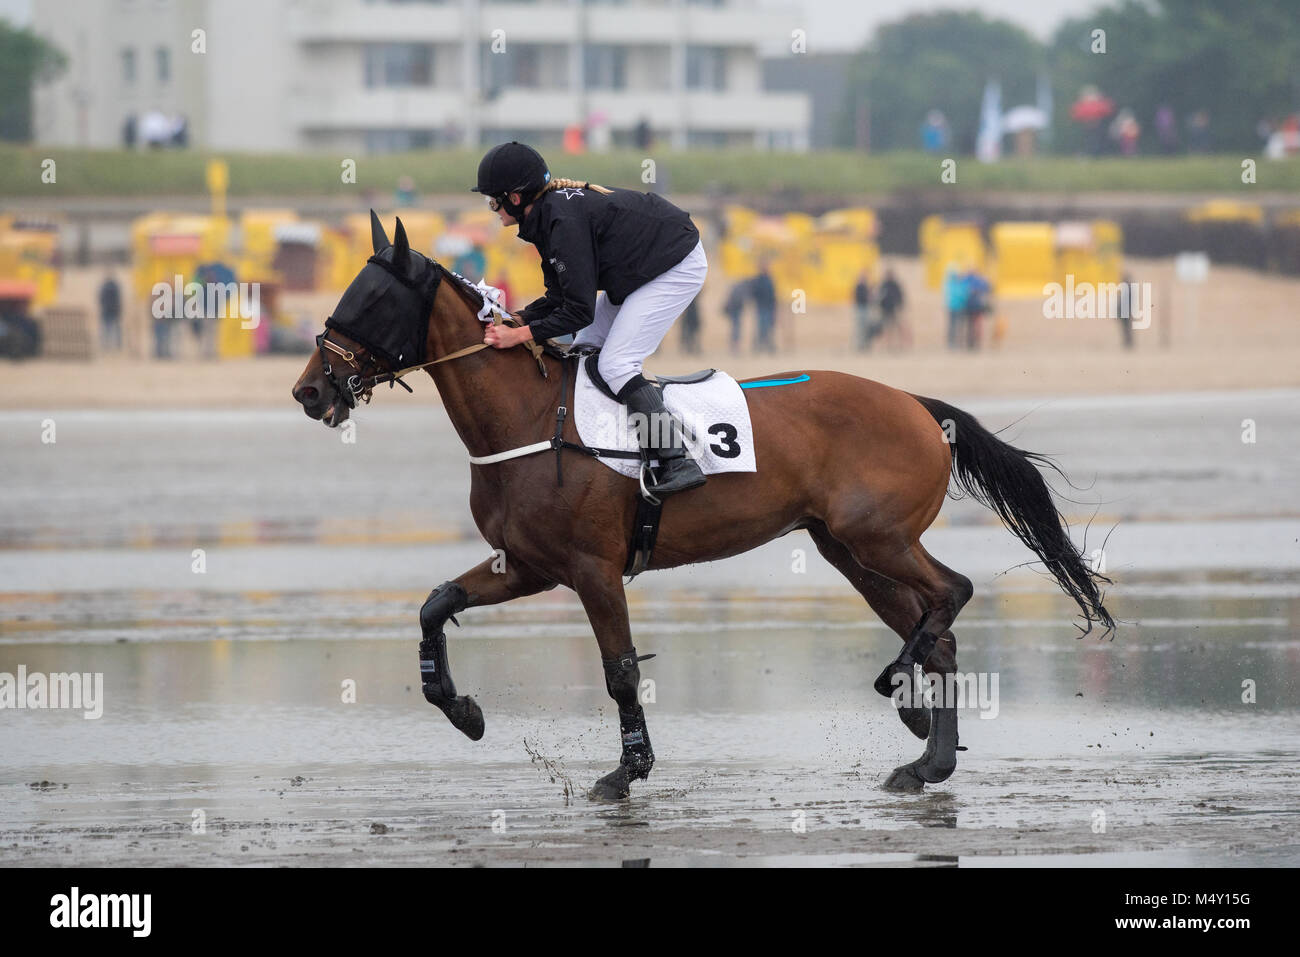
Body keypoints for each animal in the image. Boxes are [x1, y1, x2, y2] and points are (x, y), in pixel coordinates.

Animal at [292, 213, 1114, 799]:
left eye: (370, 300)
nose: (308, 390)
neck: (528, 418)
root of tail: (917, 404)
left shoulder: (593, 569)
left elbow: (620, 670)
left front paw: (626, 772)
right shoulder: (526, 564)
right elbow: (435, 604)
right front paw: (461, 709)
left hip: (877, 537)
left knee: (952, 592)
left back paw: (902, 693)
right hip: (849, 550)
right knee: (935, 628)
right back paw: (925, 757)